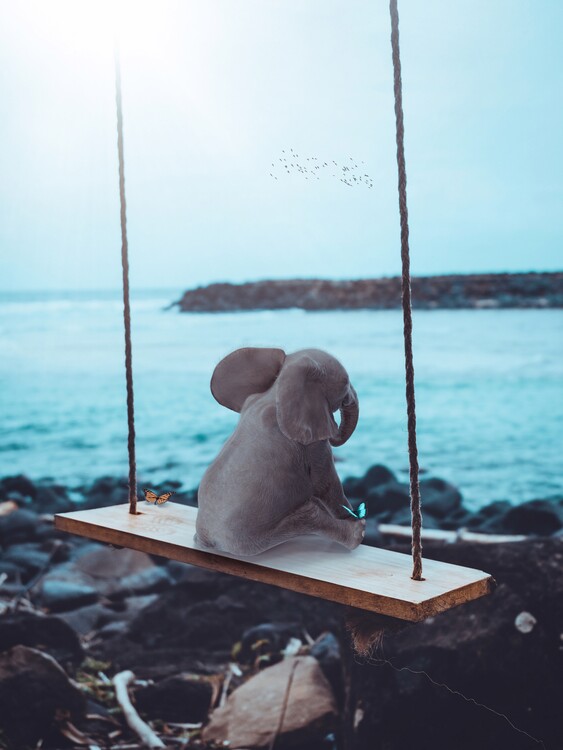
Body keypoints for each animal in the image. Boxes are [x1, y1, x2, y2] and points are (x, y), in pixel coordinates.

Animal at [195, 347, 365, 556]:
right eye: (346, 382)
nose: (335, 435)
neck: (279, 385)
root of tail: (205, 538)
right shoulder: (311, 445)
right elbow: (326, 484)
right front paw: (354, 517)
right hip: (250, 540)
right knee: (308, 516)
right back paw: (357, 532)